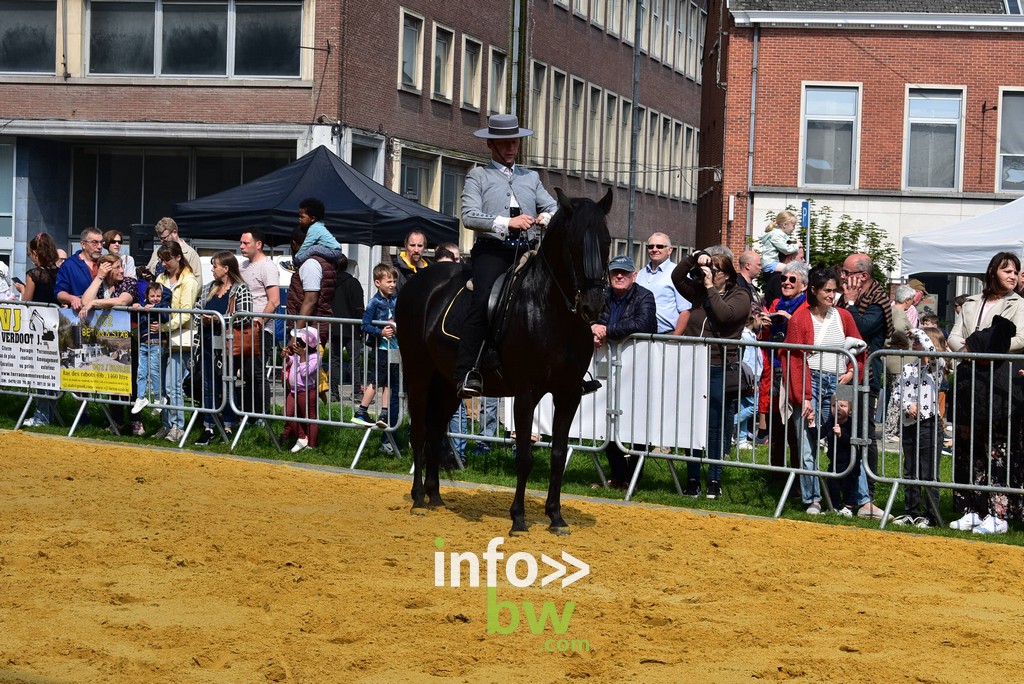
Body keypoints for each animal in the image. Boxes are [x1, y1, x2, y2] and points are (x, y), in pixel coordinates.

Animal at [397, 188, 606, 532]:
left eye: (606, 241)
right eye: (575, 243)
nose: (594, 305)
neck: (551, 311)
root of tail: (418, 281)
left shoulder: (568, 394)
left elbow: (558, 454)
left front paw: (556, 516)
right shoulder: (526, 393)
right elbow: (524, 456)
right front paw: (518, 518)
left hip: (449, 383)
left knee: (437, 431)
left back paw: (435, 496)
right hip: (419, 373)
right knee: (420, 432)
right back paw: (417, 500)